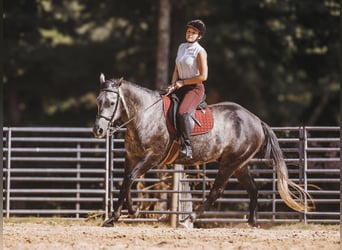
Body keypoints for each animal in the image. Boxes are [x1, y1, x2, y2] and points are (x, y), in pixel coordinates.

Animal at [93, 73, 312, 227]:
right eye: (98, 101)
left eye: (111, 103)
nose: (98, 130)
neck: (144, 115)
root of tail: (256, 120)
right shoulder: (132, 158)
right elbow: (126, 182)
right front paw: (128, 212)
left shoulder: (152, 158)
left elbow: (130, 179)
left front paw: (116, 216)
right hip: (240, 165)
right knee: (253, 189)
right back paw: (251, 222)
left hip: (230, 164)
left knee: (216, 191)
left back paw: (190, 218)